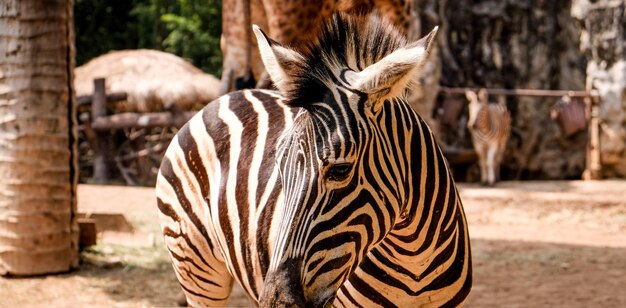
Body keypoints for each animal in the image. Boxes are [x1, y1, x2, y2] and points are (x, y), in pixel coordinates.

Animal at [155, 13, 468, 306]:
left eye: (341, 170)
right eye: (280, 169)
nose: (277, 302)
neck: (413, 261)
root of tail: (226, 98)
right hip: (195, 266)